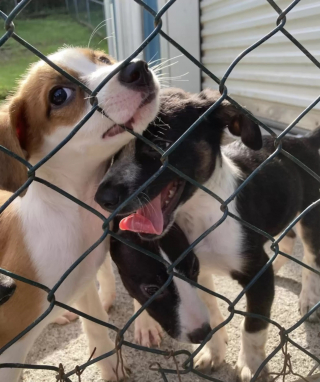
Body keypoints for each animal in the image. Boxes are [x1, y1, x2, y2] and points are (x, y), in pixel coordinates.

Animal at [0, 46, 160, 380]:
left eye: (102, 60)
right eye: (59, 95)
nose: (137, 68)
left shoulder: (84, 275)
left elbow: (95, 323)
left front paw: (110, 364)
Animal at [96, 87, 320, 382]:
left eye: (159, 146)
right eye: (111, 151)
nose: (103, 198)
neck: (200, 215)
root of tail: (303, 140)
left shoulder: (256, 275)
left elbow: (254, 326)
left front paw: (251, 365)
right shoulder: (197, 273)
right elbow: (211, 314)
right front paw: (212, 352)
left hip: (309, 214)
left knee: (311, 255)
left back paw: (309, 297)